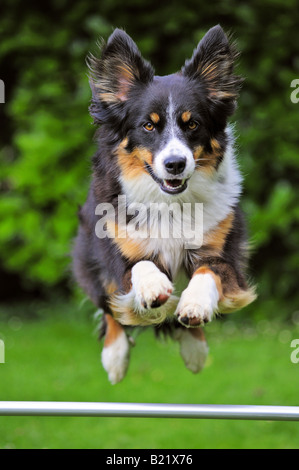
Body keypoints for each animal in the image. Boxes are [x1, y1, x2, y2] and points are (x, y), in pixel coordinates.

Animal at [72, 25, 258, 384]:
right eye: (148, 125)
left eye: (193, 124)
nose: (175, 164)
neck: (171, 202)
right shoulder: (117, 250)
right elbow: (138, 266)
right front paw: (154, 285)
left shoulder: (226, 255)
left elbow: (208, 270)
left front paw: (195, 304)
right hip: (88, 257)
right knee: (109, 305)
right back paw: (115, 358)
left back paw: (195, 348)